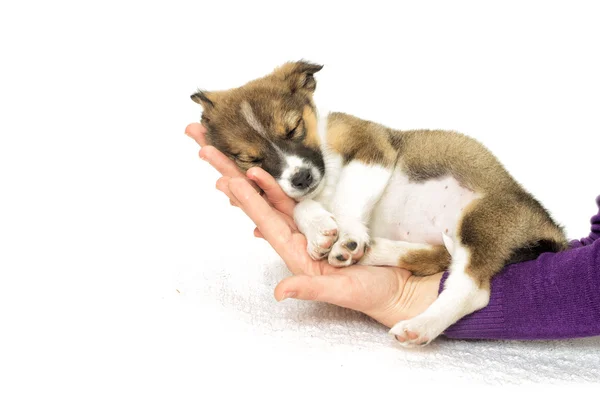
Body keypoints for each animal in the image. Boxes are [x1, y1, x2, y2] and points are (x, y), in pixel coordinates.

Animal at [191, 60, 568, 346]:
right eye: (250, 159)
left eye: (294, 129)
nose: (301, 178)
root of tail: (549, 226)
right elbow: (300, 206)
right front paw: (320, 231)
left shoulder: (371, 149)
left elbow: (346, 201)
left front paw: (346, 237)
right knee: (437, 257)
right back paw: (374, 252)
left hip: (481, 219)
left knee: (471, 289)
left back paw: (418, 325)